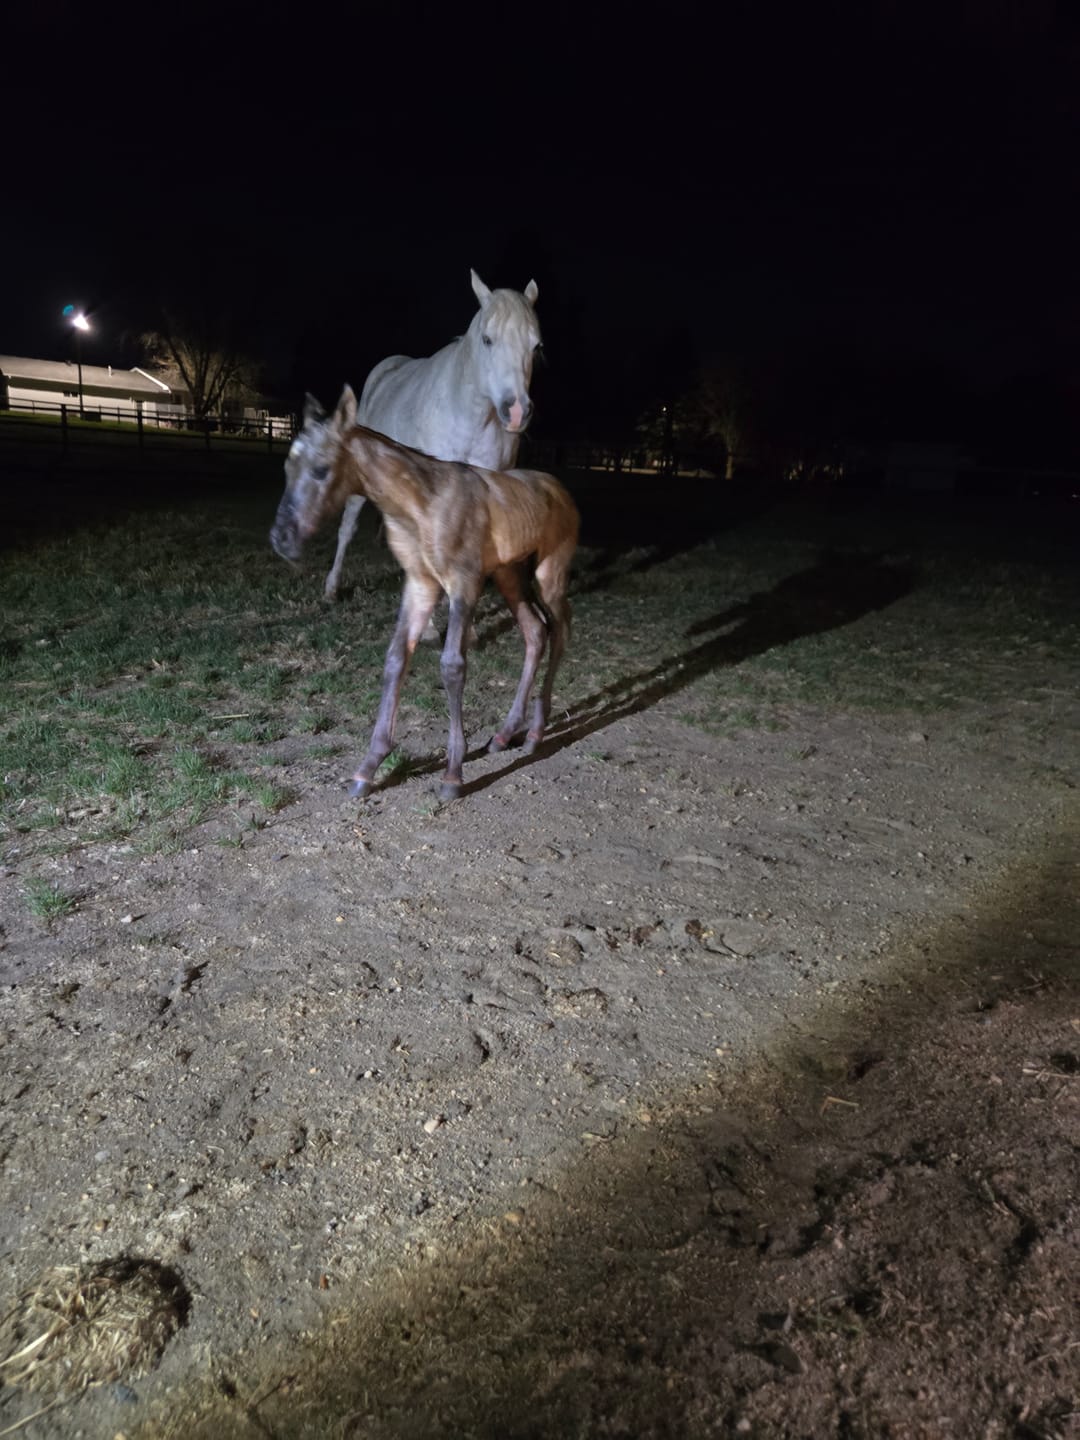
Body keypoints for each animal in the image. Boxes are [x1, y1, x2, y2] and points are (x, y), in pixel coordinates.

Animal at [271, 387, 579, 802]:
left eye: (321, 469)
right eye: (288, 468)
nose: (281, 540)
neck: (422, 505)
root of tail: (560, 490)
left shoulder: (463, 583)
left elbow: (452, 666)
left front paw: (452, 773)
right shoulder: (419, 584)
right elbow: (396, 659)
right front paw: (369, 766)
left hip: (550, 573)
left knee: (560, 629)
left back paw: (534, 732)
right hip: (509, 575)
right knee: (534, 631)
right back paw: (504, 734)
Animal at [322, 270, 542, 625]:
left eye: (536, 346)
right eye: (487, 339)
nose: (517, 411)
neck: (468, 415)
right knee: (348, 527)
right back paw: (332, 588)